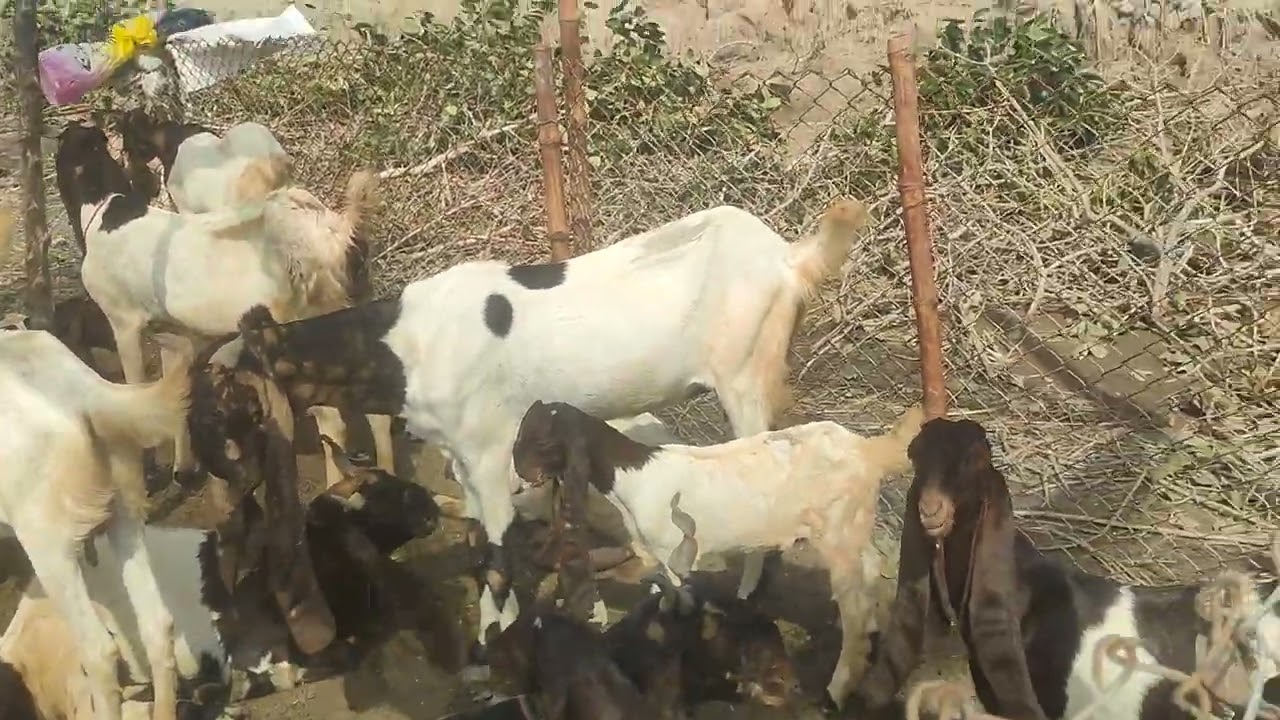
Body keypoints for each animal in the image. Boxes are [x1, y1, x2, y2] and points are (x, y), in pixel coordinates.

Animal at [53, 122, 378, 489]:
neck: (105, 212)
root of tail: (332, 235)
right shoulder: (171, 331)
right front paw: (182, 470)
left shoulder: (123, 322)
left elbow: (135, 386)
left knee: (331, 419)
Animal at [233, 197, 871, 649]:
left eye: (230, 386)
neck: (407, 345)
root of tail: (787, 258)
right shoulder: (463, 457)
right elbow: (480, 543)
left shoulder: (489, 451)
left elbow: (493, 555)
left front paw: (493, 644)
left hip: (745, 375)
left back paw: (746, 592)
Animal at [511, 399, 922, 705]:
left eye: (545, 442)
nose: (519, 479)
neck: (635, 476)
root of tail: (866, 450)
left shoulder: (672, 554)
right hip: (854, 528)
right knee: (869, 574)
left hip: (837, 533)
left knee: (855, 608)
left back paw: (837, 688)